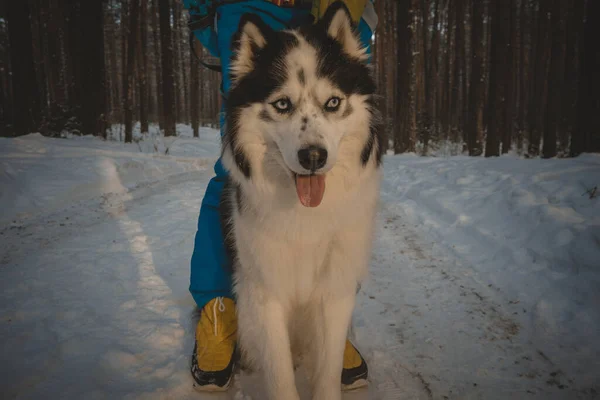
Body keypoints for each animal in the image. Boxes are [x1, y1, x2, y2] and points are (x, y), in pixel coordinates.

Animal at [220, 2, 384, 396]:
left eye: (333, 102)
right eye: (282, 104)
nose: (313, 157)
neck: (305, 214)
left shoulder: (335, 290)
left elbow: (327, 369)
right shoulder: (266, 291)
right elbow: (279, 373)